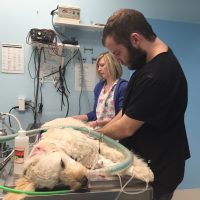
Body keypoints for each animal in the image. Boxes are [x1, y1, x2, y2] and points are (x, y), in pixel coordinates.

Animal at [3, 118, 154, 199]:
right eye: (58, 182)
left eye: (62, 163)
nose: (83, 180)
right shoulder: (93, 158)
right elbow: (110, 165)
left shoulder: (92, 147)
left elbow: (119, 156)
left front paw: (145, 172)